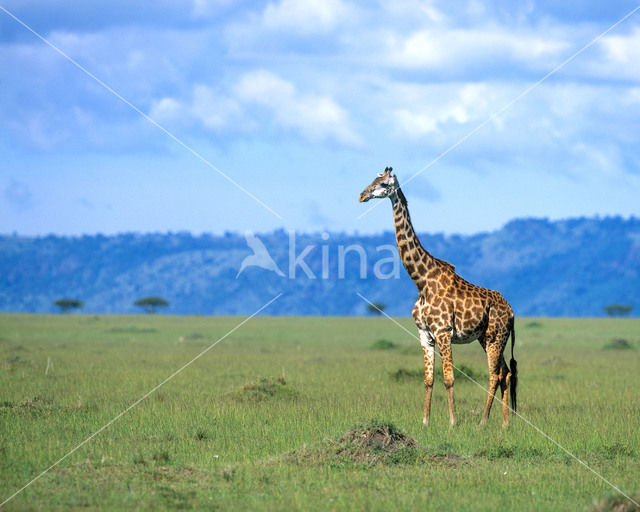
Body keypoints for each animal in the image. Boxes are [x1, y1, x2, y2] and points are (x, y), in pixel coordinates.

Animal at [358, 168, 516, 428]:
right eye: (371, 179)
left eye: (382, 184)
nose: (362, 195)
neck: (421, 281)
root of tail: (512, 312)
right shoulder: (424, 334)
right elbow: (428, 379)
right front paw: (425, 421)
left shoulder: (443, 332)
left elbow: (449, 378)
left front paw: (453, 422)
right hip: (487, 337)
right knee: (506, 372)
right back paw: (505, 423)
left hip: (496, 336)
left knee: (495, 374)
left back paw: (483, 422)